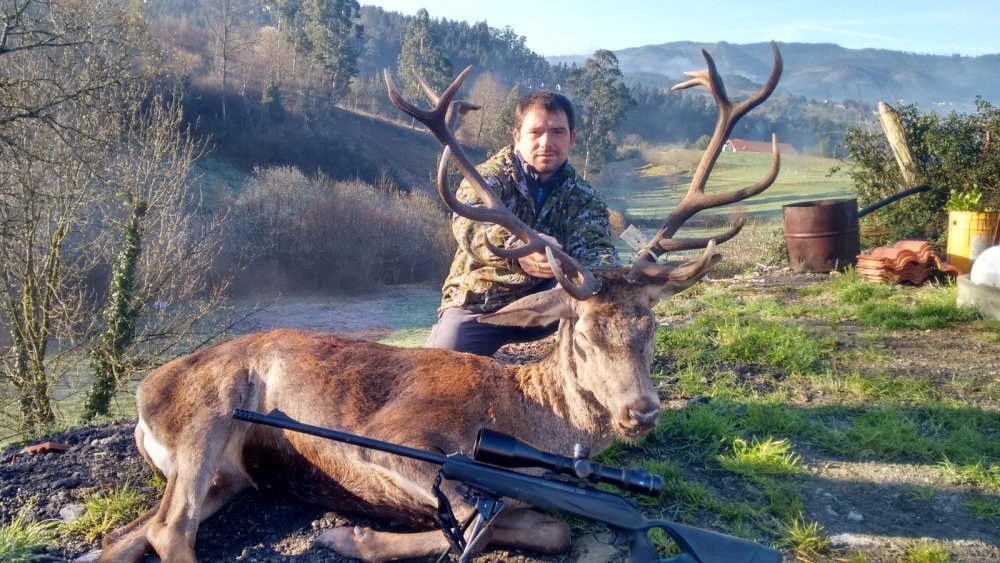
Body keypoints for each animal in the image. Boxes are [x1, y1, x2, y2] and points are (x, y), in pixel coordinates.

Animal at [98, 42, 783, 563]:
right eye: (584, 333)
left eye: (651, 326)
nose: (641, 412)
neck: (535, 424)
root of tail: (141, 395)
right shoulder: (392, 435)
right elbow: (501, 518)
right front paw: (353, 535)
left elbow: (543, 524)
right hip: (204, 415)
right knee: (169, 528)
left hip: (224, 475)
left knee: (128, 537)